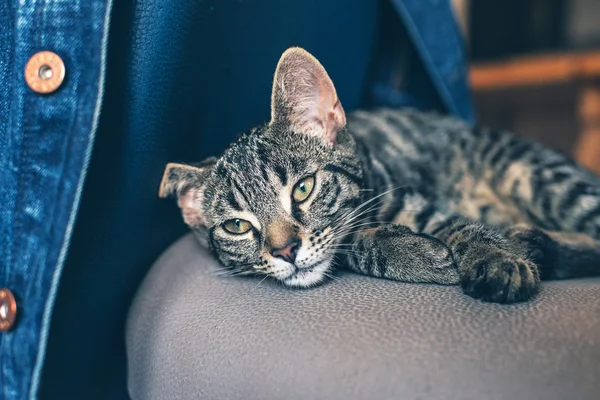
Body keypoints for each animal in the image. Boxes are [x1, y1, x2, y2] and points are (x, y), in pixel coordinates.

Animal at [159, 47, 600, 304]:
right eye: (236, 226)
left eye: (303, 189)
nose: (285, 251)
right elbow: (352, 241)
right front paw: (415, 253)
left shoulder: (414, 201)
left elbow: (463, 227)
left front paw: (493, 257)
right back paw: (538, 244)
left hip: (537, 176)